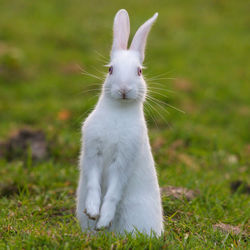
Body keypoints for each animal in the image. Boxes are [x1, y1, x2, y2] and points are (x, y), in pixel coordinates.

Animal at [76, 9, 164, 236]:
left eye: (139, 71)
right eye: (110, 70)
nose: (124, 89)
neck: (119, 112)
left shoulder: (124, 158)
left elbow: (113, 192)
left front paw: (103, 220)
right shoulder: (93, 151)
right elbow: (93, 184)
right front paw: (92, 212)